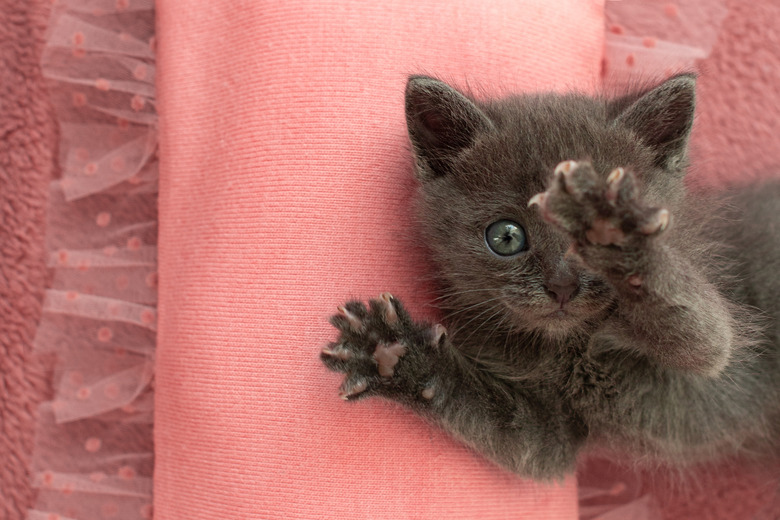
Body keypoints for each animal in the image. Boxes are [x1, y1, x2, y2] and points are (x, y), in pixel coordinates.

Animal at [318, 74, 780, 480]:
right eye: (505, 236)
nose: (562, 286)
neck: (570, 350)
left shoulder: (716, 353)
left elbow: (702, 334)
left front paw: (610, 225)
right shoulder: (552, 431)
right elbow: (508, 427)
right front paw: (394, 354)